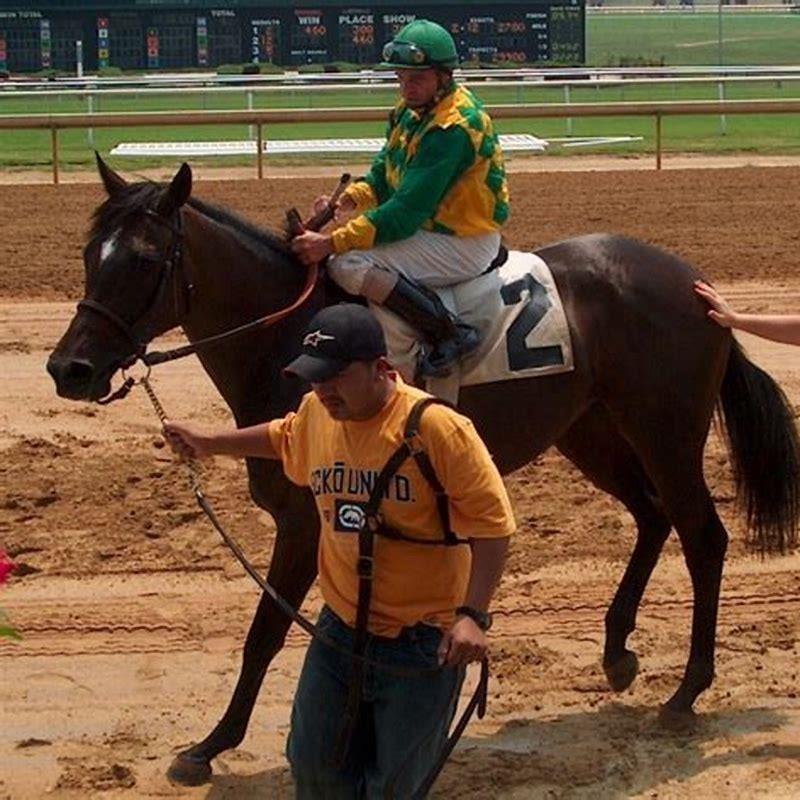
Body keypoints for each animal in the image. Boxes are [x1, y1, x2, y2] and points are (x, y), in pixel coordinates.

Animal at [47, 157, 800, 786]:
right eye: (89, 255)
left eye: (145, 259)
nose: (69, 369)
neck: (288, 338)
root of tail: (695, 285)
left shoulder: (303, 523)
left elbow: (264, 633)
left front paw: (210, 745)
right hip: (589, 431)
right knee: (652, 517)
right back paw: (617, 652)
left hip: (665, 432)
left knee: (703, 537)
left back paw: (687, 690)